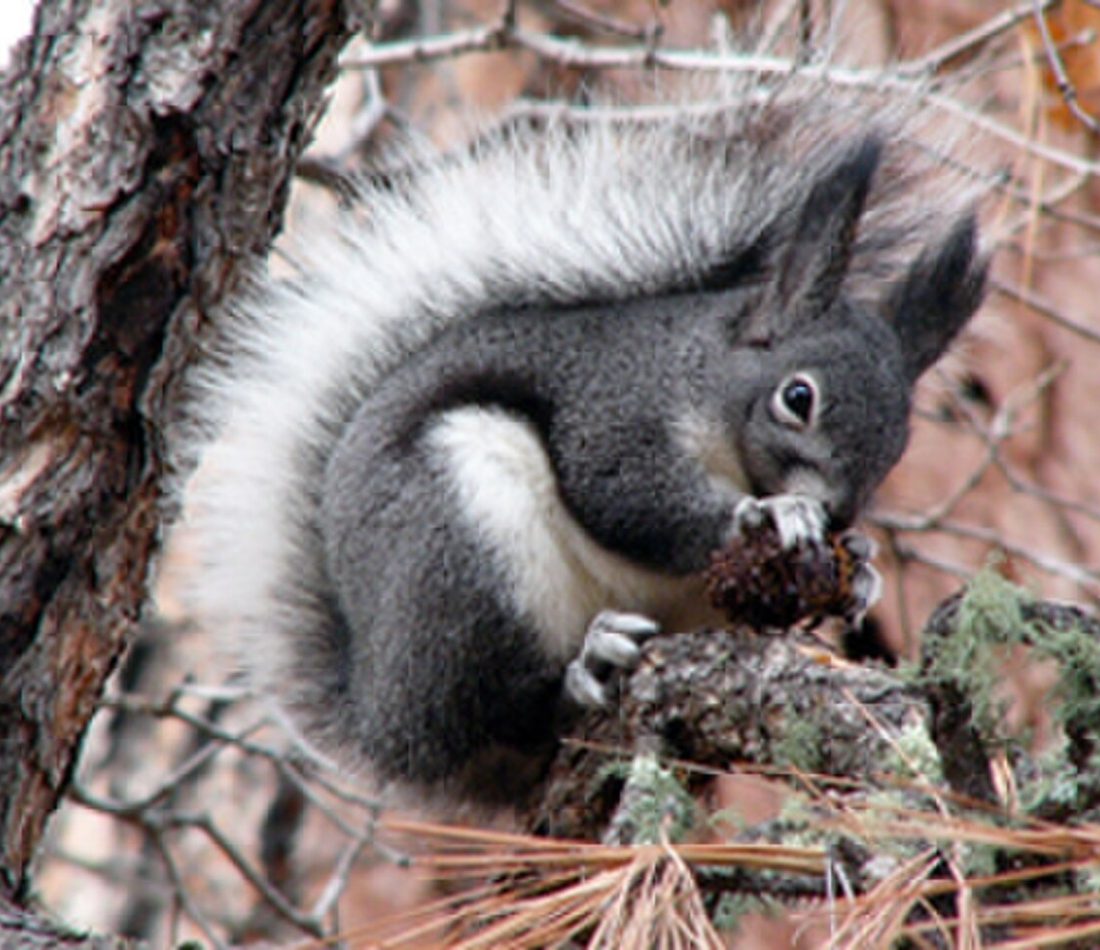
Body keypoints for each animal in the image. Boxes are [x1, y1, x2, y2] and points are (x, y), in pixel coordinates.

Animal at [186, 81, 988, 806]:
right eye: (799, 397)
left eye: (899, 445)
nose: (839, 513)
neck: (709, 382)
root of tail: (379, 716)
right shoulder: (612, 407)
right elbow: (623, 493)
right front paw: (769, 518)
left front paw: (861, 567)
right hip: (462, 546)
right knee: (494, 713)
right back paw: (585, 667)